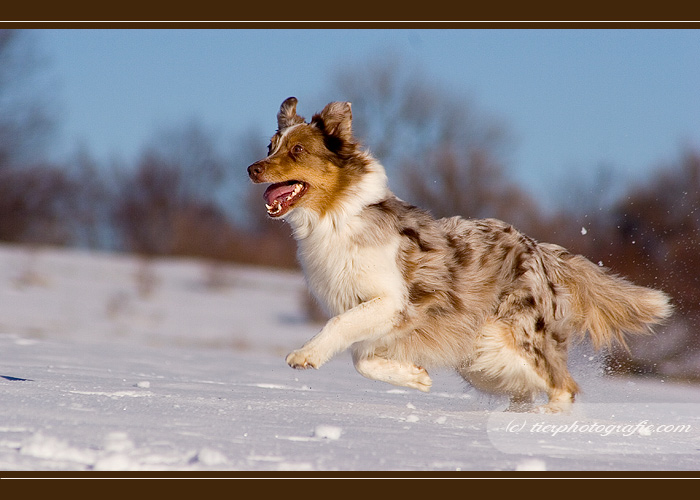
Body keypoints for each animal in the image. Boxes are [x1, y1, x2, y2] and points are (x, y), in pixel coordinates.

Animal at [247, 97, 672, 414]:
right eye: (271, 147)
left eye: (297, 150)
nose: (252, 169)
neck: (336, 216)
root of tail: (541, 250)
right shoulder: (385, 319)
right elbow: (361, 359)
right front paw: (415, 377)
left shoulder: (392, 300)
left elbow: (340, 328)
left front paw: (305, 355)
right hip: (481, 357)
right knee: (531, 389)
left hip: (510, 340)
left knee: (564, 386)